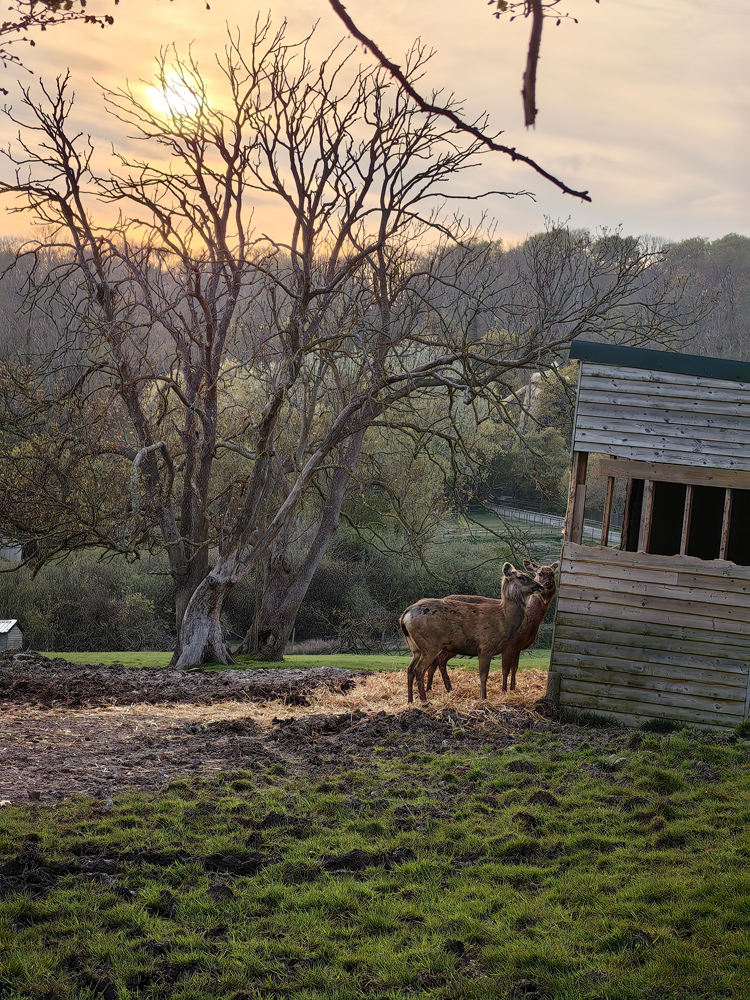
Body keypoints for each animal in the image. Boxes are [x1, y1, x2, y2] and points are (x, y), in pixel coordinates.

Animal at [402, 564, 544, 704]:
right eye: (521, 577)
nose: (541, 586)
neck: (504, 621)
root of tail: (404, 616)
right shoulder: (486, 646)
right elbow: (483, 675)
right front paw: (483, 698)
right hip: (430, 644)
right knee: (419, 669)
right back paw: (424, 701)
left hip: (415, 647)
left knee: (410, 669)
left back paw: (410, 701)